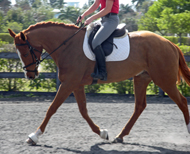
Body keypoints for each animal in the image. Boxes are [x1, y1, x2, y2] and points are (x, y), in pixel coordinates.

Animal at [8, 21, 190, 144]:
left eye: (25, 52)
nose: (30, 75)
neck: (67, 45)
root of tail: (170, 43)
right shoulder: (76, 85)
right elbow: (83, 110)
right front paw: (102, 132)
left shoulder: (69, 84)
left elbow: (52, 108)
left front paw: (34, 136)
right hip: (141, 78)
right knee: (139, 106)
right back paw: (120, 136)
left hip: (164, 80)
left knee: (182, 101)